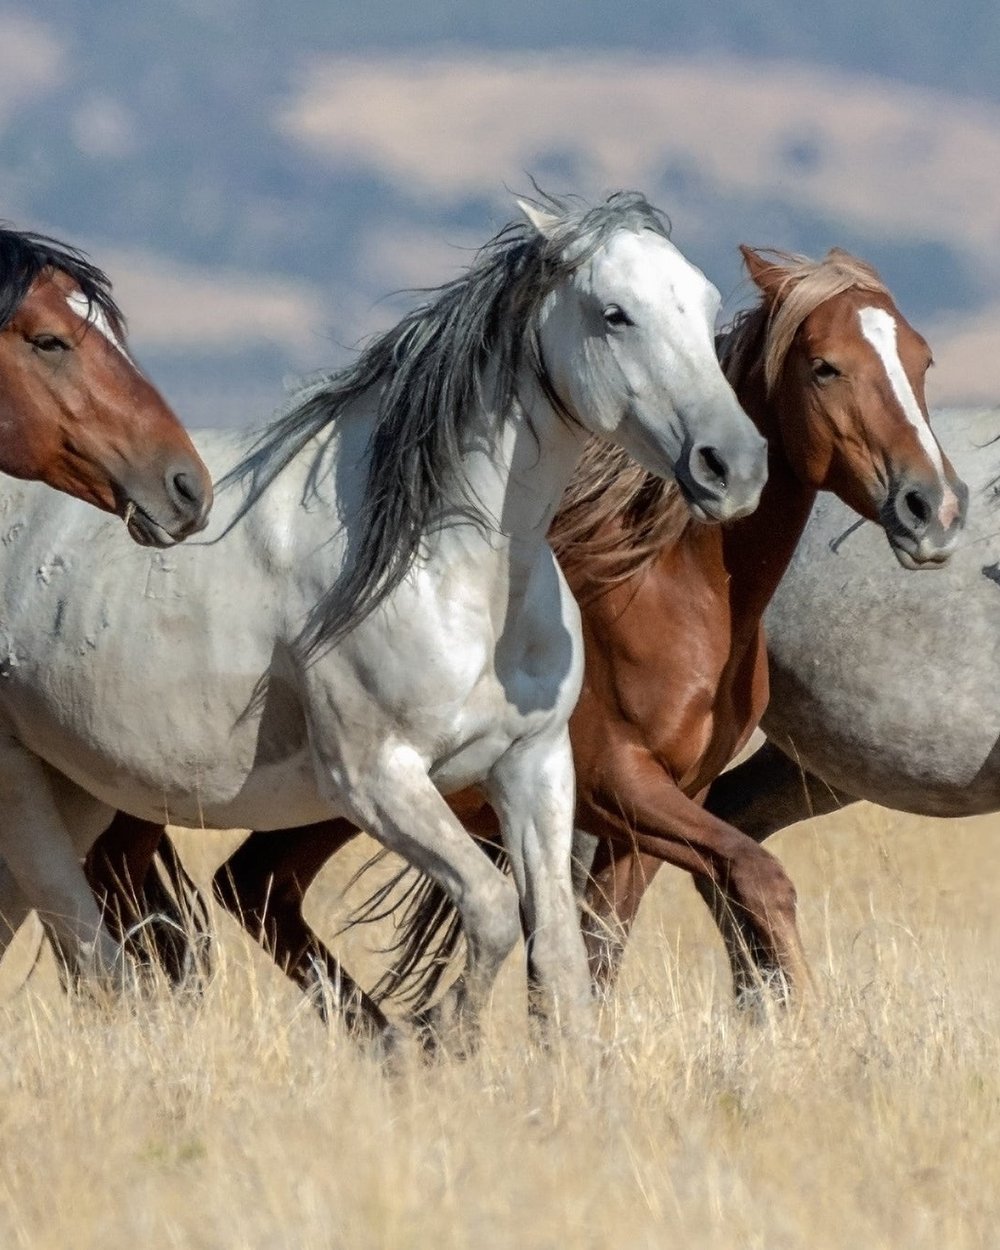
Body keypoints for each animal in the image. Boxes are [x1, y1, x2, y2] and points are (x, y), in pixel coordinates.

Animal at [91, 243, 967, 1017]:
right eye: (825, 365)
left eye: (922, 361)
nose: (934, 508)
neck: (675, 594)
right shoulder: (621, 785)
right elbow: (758, 877)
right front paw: (809, 1024)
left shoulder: (653, 812)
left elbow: (598, 951)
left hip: (324, 802)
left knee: (253, 888)